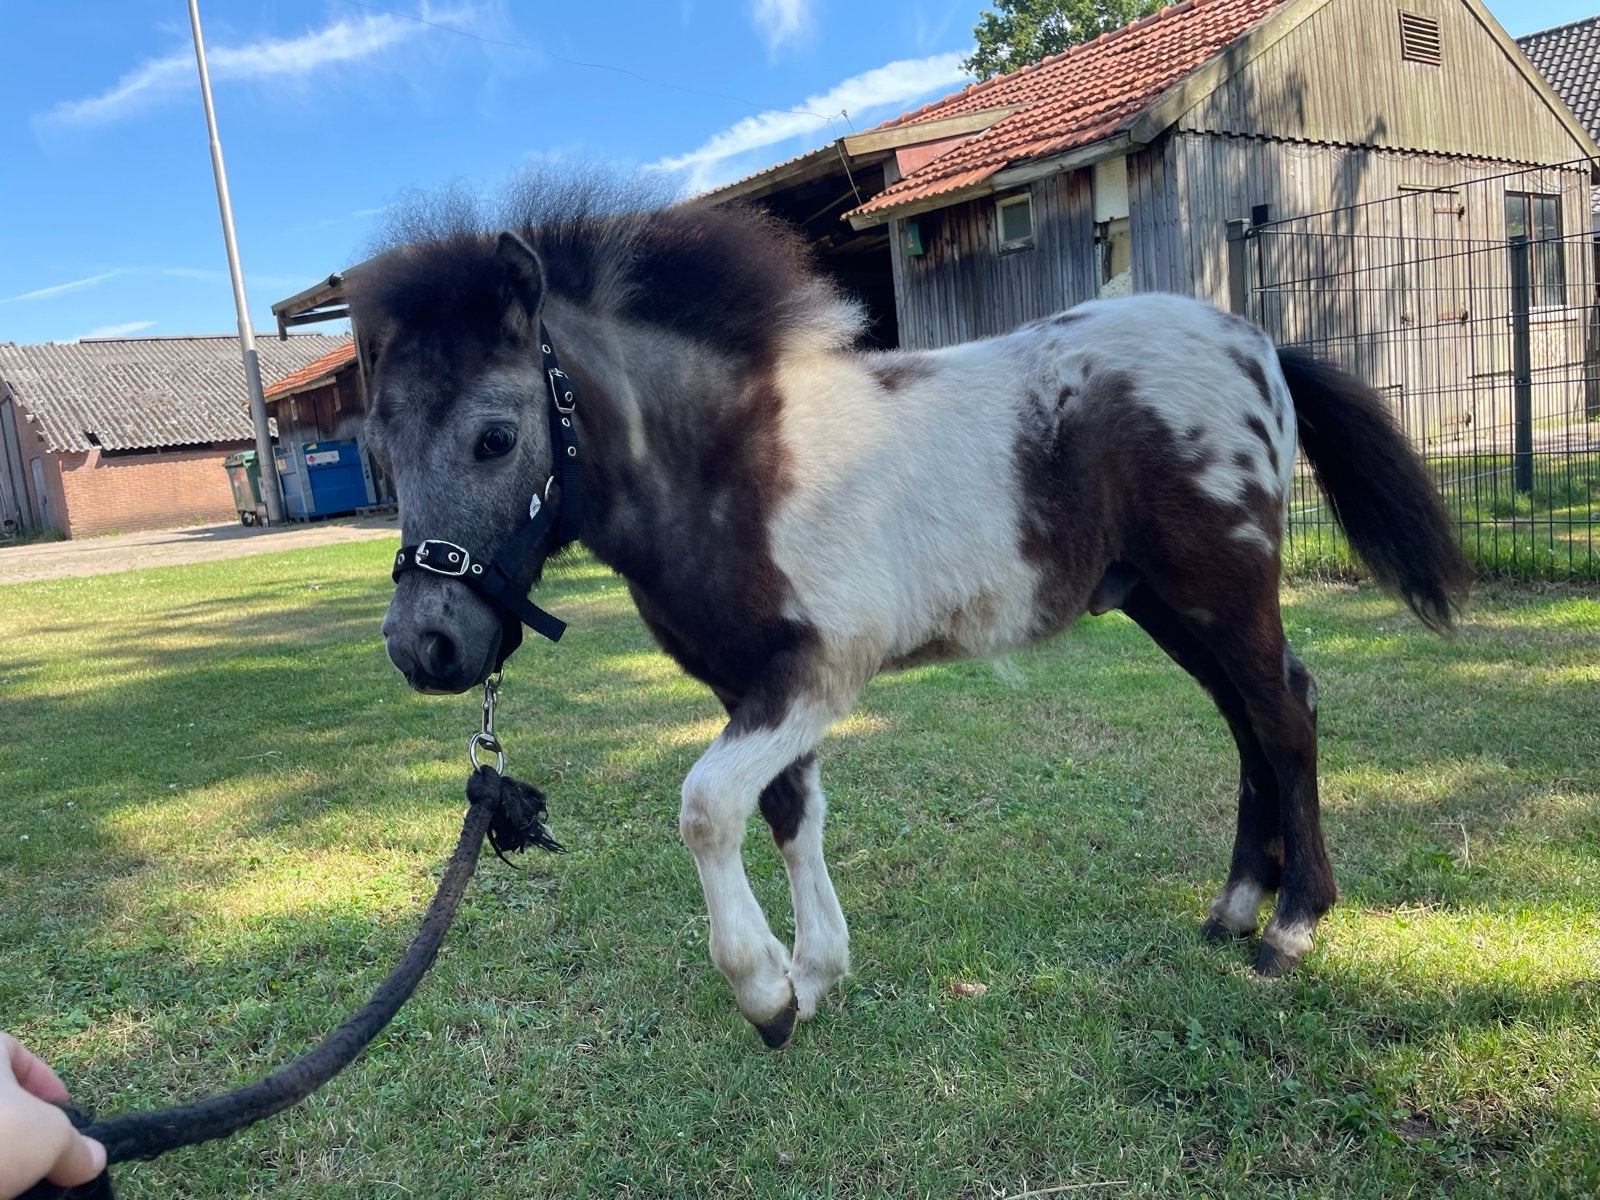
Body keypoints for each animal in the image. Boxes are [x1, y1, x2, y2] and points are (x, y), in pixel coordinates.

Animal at [347, 193, 1472, 1049]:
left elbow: (707, 805)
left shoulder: (822, 669)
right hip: (1170, 604)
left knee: (1285, 718)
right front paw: (815, 973)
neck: (729, 466)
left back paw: (1290, 927)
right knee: (1248, 729)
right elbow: (789, 813)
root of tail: (1258, 344)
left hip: (1223, 589)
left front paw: (764, 991)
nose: (424, 647)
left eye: (496, 436)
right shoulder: (755, 683)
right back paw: (1235, 908)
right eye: (380, 450)